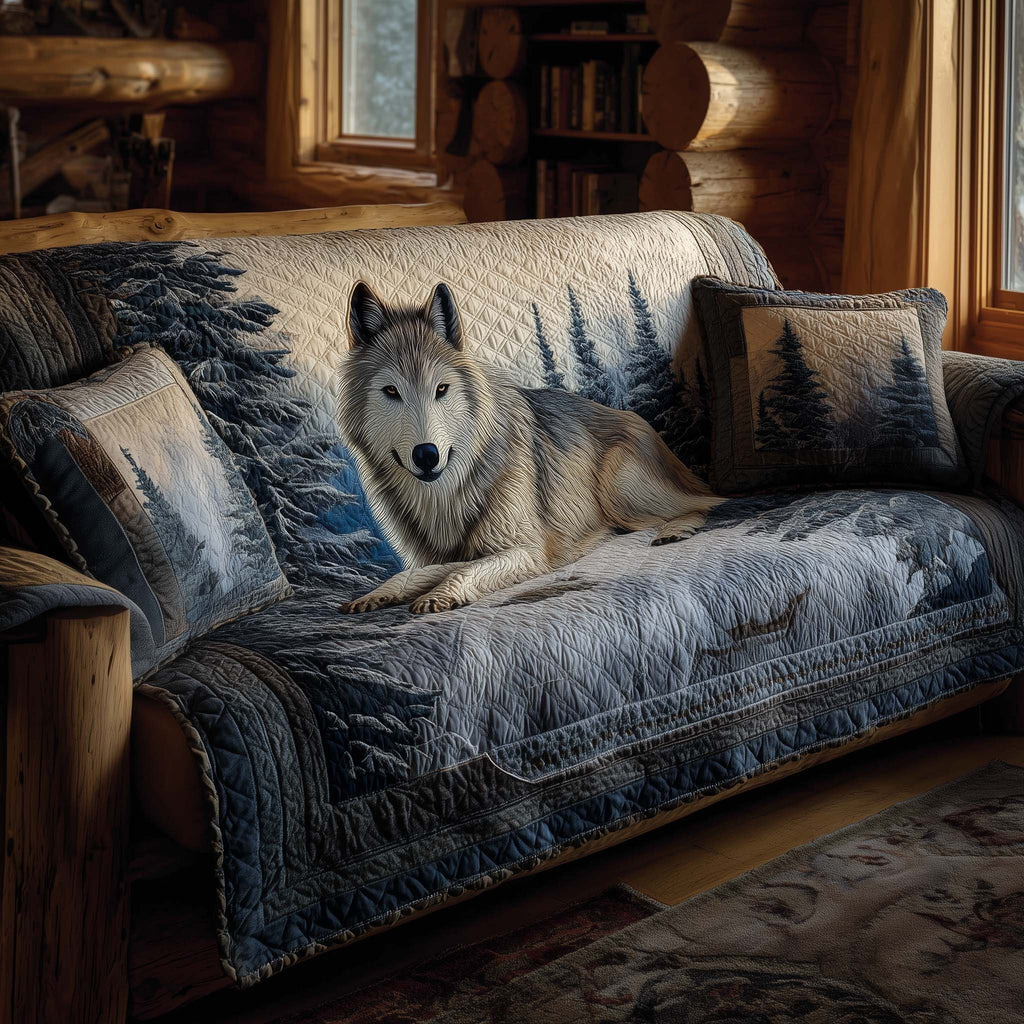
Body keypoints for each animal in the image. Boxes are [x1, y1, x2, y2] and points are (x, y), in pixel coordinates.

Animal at [337, 281, 723, 615]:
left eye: (442, 389)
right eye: (391, 391)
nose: (426, 455)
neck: (447, 494)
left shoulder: (529, 549)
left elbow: (464, 570)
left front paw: (437, 597)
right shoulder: (452, 554)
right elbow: (420, 571)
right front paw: (378, 594)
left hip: (619, 492)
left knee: (704, 504)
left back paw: (674, 531)